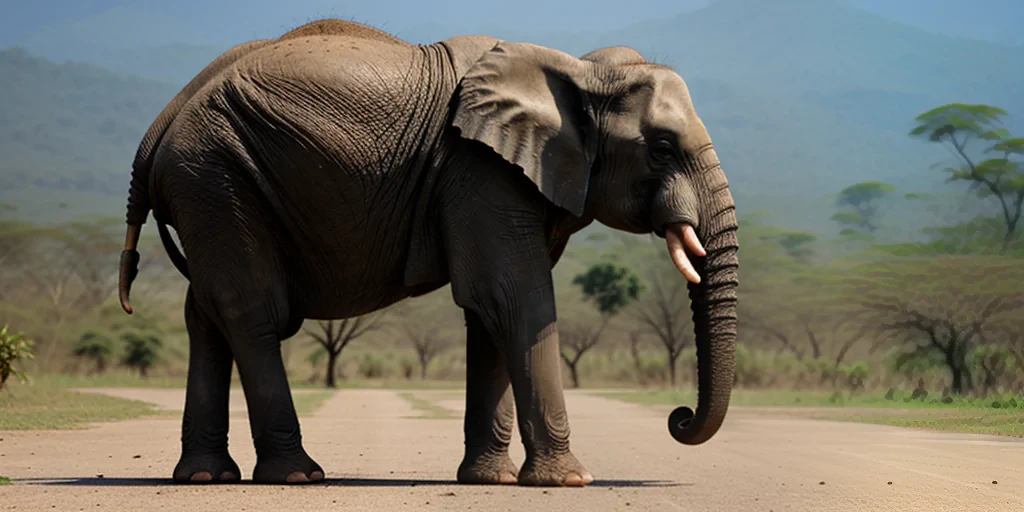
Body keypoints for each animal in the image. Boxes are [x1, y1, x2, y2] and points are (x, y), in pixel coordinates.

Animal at [117, 21, 739, 487]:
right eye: (662, 149)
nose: (678, 416)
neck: (579, 72)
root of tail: (157, 133)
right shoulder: (481, 171)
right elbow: (512, 297)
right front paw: (569, 482)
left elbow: (491, 313)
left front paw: (492, 481)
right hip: (215, 174)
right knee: (252, 311)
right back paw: (297, 475)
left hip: (212, 186)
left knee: (206, 313)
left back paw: (205, 476)